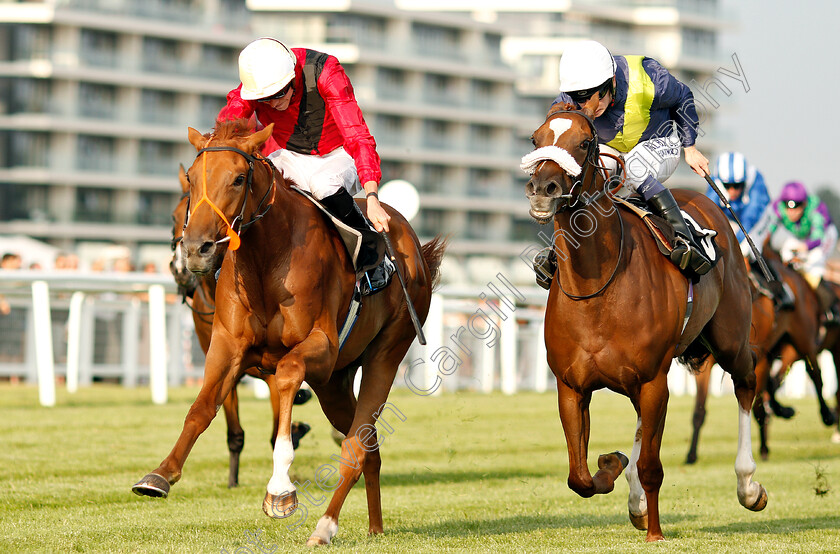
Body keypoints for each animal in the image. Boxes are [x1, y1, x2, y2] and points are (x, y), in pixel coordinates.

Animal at [132, 119, 446, 544]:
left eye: (238, 179)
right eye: (192, 180)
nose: (196, 250)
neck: (267, 259)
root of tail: (413, 243)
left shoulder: (320, 347)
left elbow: (286, 377)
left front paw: (280, 488)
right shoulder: (227, 346)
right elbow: (202, 407)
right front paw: (160, 475)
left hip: (386, 352)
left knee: (355, 446)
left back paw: (324, 527)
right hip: (335, 383)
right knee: (369, 446)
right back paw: (375, 527)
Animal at [524, 105, 768, 540]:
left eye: (584, 143)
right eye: (536, 139)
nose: (542, 188)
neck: (596, 289)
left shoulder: (655, 381)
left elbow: (651, 467)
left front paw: (655, 531)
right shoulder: (571, 386)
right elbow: (579, 477)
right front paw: (613, 466)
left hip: (729, 339)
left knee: (746, 382)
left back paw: (748, 485)